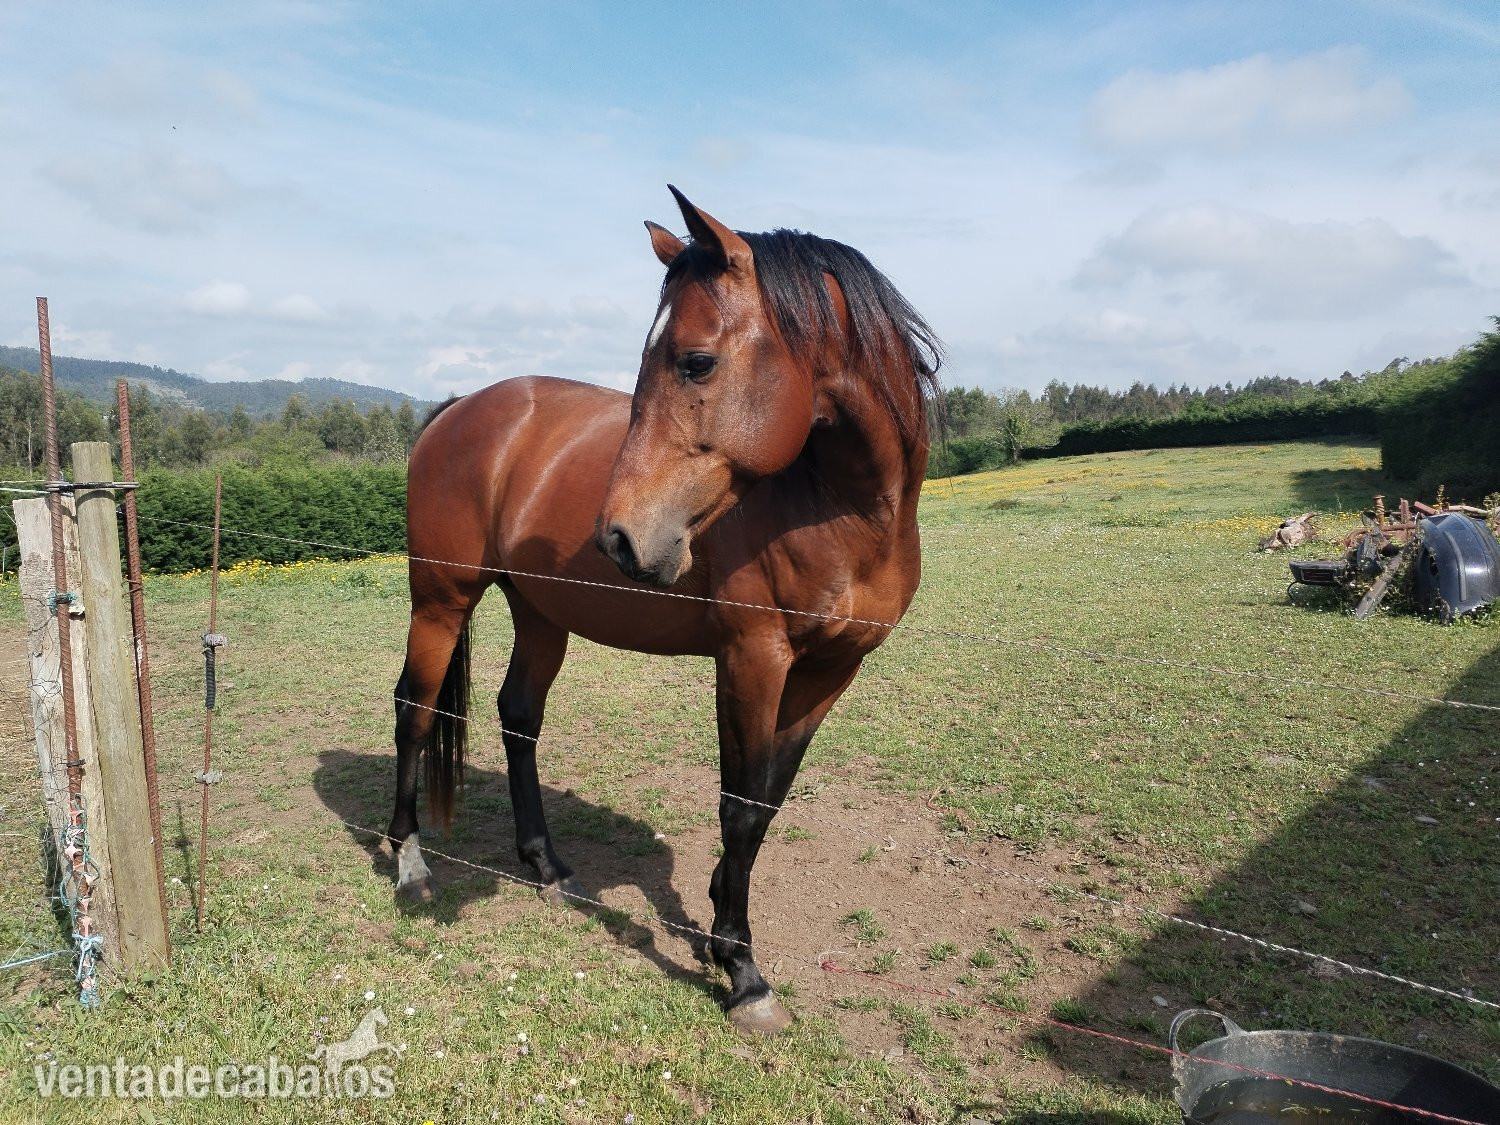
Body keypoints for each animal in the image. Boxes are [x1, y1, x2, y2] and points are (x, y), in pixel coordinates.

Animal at [387, 186, 940, 1033]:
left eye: (695, 360)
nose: (618, 537)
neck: (838, 509)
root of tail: (457, 408)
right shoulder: (751, 657)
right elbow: (739, 803)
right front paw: (743, 970)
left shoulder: (832, 670)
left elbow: (768, 798)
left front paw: (718, 917)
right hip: (441, 600)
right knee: (414, 709)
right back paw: (409, 863)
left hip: (540, 615)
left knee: (519, 717)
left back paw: (548, 865)